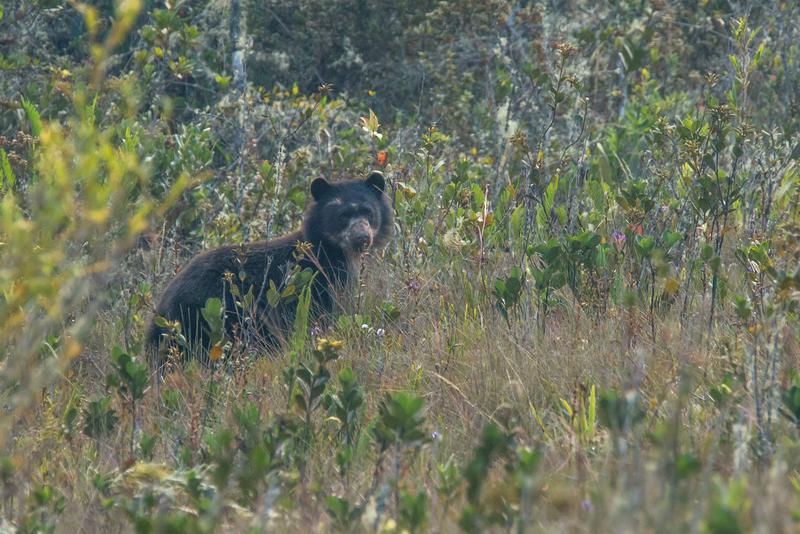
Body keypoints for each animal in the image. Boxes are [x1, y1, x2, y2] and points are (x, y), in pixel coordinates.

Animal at [147, 172, 394, 368]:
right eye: (342, 216)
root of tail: (163, 304)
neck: (334, 253)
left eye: (368, 212)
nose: (362, 238)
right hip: (206, 318)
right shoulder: (316, 285)